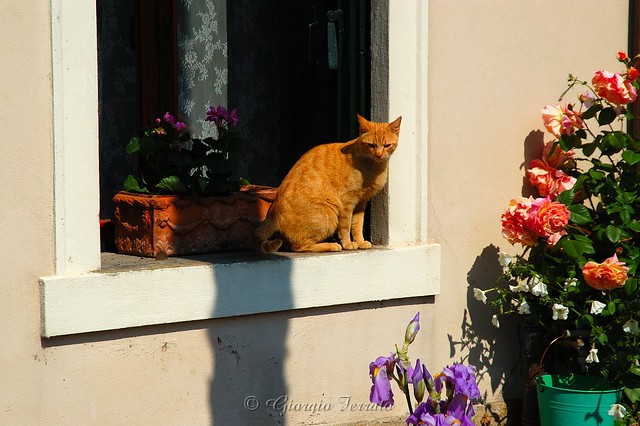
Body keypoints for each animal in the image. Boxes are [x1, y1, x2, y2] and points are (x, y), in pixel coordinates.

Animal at [254, 114, 400, 253]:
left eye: (387, 145)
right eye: (371, 145)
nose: (379, 155)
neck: (373, 166)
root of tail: (273, 213)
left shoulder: (361, 202)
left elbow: (357, 224)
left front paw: (360, 241)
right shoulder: (347, 201)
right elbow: (346, 225)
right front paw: (348, 244)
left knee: (289, 245)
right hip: (327, 216)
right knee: (299, 247)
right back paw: (331, 245)